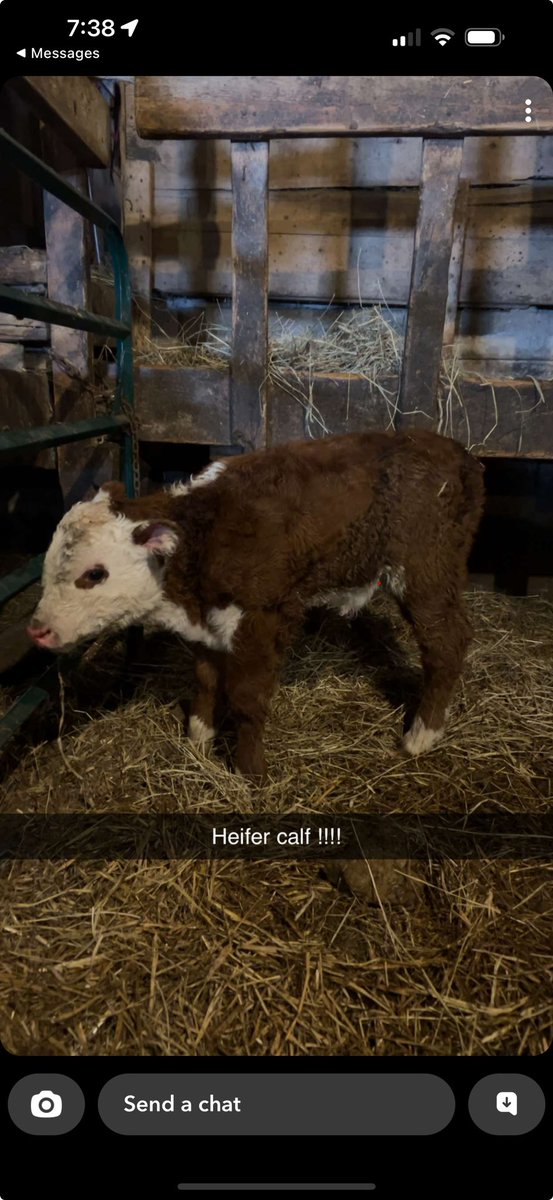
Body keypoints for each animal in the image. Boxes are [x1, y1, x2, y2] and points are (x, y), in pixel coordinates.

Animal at [27, 430, 485, 782]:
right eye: (46, 564)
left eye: (94, 574)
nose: (37, 629)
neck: (200, 536)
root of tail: (458, 452)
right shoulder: (207, 624)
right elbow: (205, 679)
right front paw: (199, 736)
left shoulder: (261, 618)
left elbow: (246, 699)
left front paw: (251, 772)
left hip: (427, 573)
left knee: (447, 644)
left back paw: (421, 736)